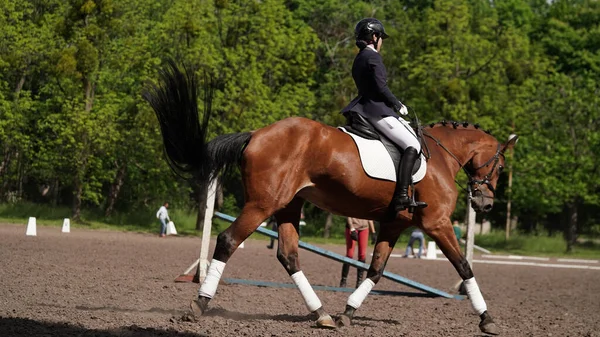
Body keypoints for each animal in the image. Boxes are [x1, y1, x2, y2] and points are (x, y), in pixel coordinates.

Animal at [143, 62, 512, 334]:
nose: (485, 204)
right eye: (501, 167)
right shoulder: (437, 223)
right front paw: (488, 319)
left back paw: (321, 314)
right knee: (229, 240)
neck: (441, 157)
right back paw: (198, 305)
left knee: (289, 255)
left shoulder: (394, 224)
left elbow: (375, 270)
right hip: (263, 205)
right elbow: (464, 266)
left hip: (288, 205)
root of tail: (255, 134)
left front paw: (347, 313)